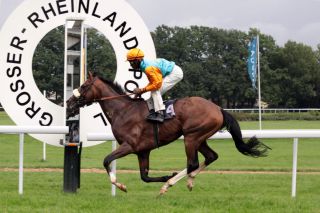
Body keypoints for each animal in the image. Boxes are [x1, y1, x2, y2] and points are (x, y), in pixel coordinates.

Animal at [67, 72, 270, 196]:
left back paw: (169, 184)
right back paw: (188, 181)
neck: (123, 111)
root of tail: (218, 108)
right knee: (211, 156)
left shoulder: (129, 146)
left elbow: (106, 160)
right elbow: (145, 176)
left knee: (192, 163)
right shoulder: (143, 151)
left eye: (84, 85)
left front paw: (121, 185)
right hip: (199, 138)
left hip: (191, 137)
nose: (69, 103)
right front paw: (163, 176)